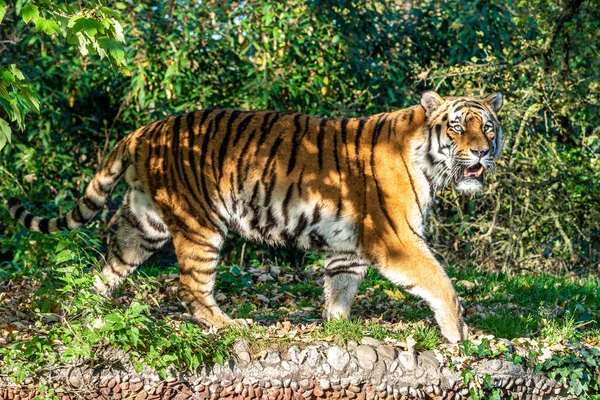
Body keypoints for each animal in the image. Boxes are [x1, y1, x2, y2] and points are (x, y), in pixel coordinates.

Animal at [7, 91, 502, 344]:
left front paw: (338, 325)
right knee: (191, 288)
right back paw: (228, 324)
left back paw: (86, 311)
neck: (426, 160)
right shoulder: (396, 238)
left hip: (144, 223)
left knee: (110, 266)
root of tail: (144, 129)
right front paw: (460, 334)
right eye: (458, 127)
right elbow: (441, 282)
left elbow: (340, 288)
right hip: (200, 222)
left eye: (489, 127)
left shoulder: (349, 246)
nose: (481, 152)